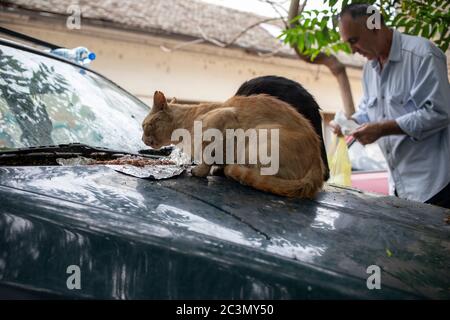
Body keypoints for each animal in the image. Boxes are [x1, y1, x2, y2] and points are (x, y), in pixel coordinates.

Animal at [143, 90, 324, 199]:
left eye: (146, 126)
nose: (143, 139)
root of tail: (318, 161)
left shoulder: (223, 119)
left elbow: (208, 156)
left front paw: (200, 171)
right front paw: (217, 169)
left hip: (258, 139)